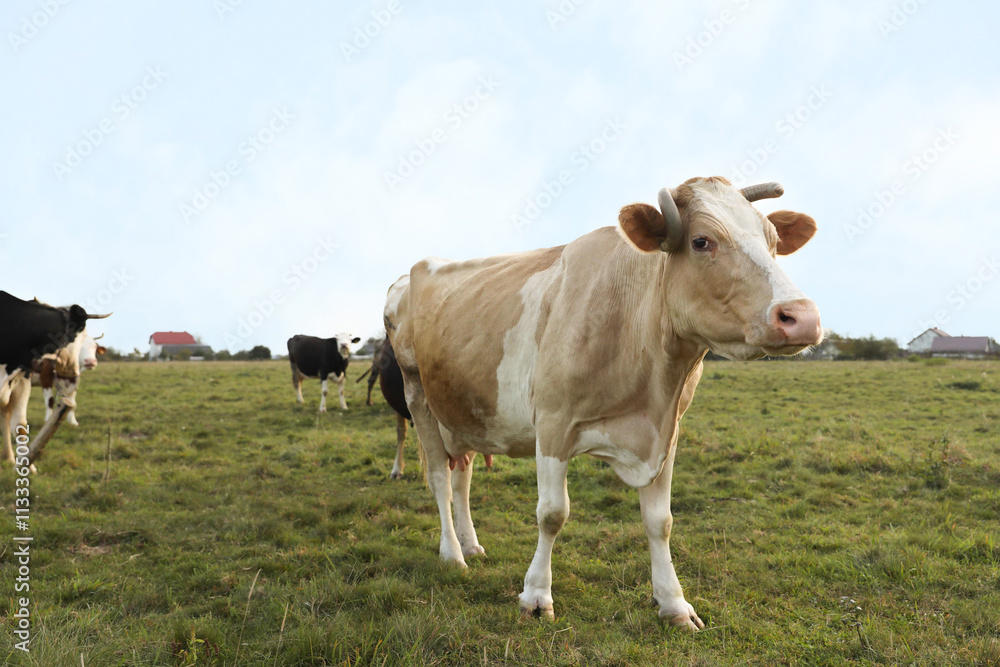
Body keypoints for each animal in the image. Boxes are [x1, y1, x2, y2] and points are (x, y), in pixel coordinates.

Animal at [384, 177, 822, 629]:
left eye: (773, 241)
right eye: (701, 241)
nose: (802, 316)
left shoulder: (667, 433)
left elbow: (660, 521)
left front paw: (674, 603)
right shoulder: (553, 425)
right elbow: (552, 513)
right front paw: (536, 596)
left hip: (465, 412)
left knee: (462, 475)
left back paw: (470, 544)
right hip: (418, 395)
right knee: (439, 476)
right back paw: (452, 554)